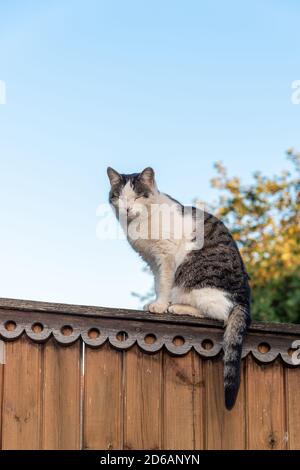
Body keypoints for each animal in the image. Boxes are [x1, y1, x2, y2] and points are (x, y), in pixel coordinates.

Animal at [106, 167, 252, 410]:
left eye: (137, 196)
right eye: (120, 196)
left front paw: (160, 306)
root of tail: (243, 300)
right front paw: (155, 303)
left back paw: (178, 307)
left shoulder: (165, 257)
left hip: (197, 285)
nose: (126, 208)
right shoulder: (152, 261)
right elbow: (157, 284)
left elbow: (164, 285)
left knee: (220, 313)